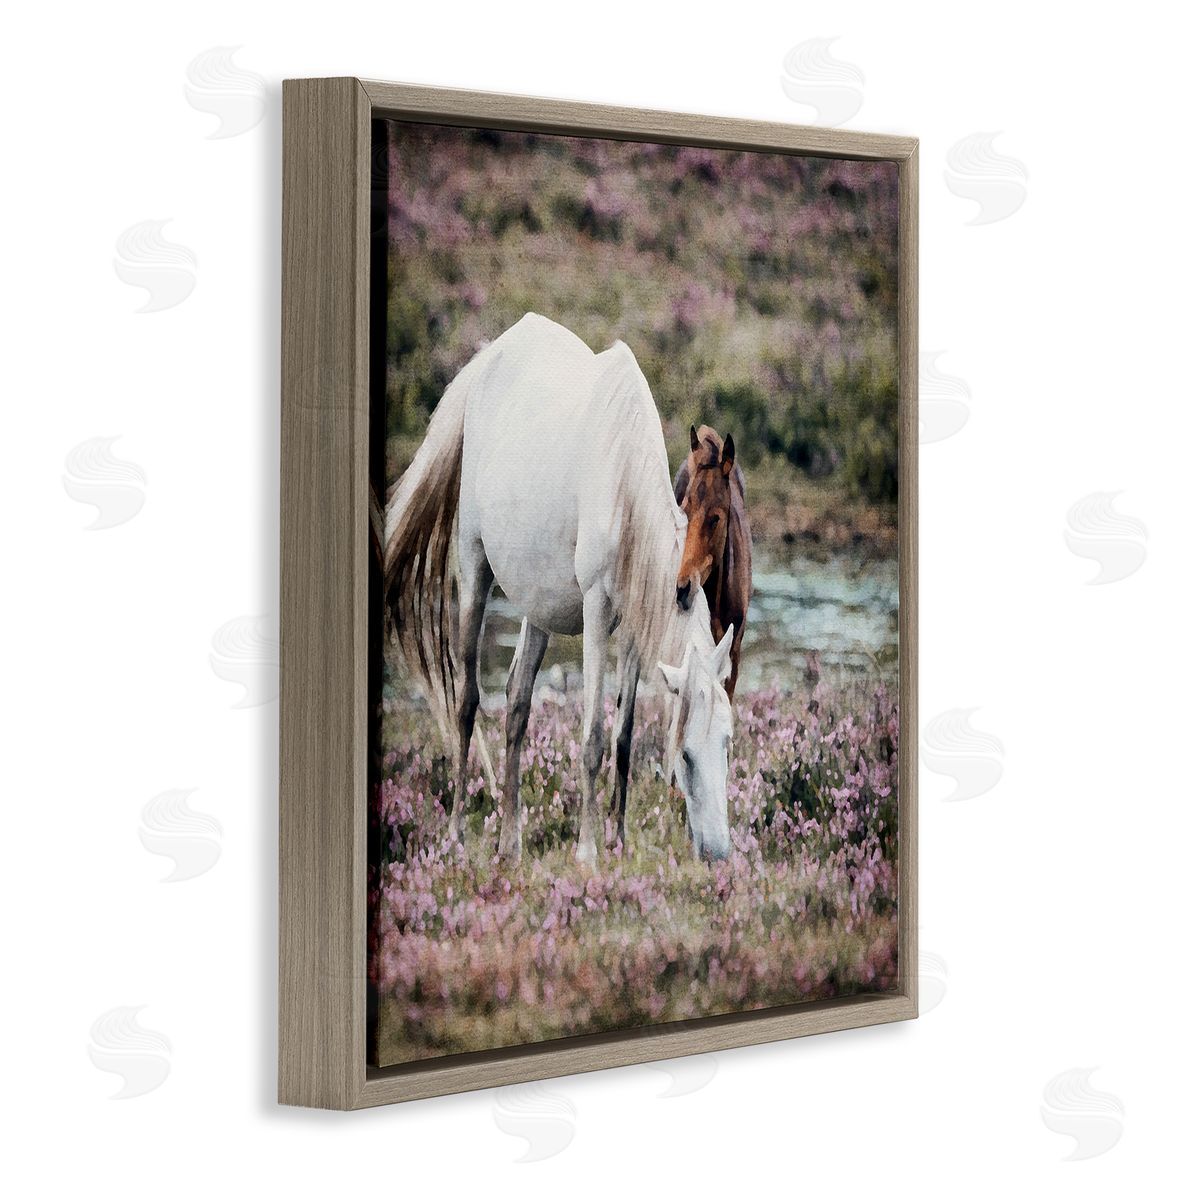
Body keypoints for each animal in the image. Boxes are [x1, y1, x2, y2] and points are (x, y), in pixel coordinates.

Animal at [383, 313, 734, 864]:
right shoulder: (596, 610)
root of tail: (489, 359)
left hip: (539, 604)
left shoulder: (632, 626)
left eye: (727, 742)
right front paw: (589, 851)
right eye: (686, 755)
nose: (719, 852)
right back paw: (457, 833)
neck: (622, 484)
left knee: (517, 702)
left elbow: (624, 738)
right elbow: (593, 736)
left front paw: (619, 841)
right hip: (474, 565)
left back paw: (510, 842)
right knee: (467, 703)